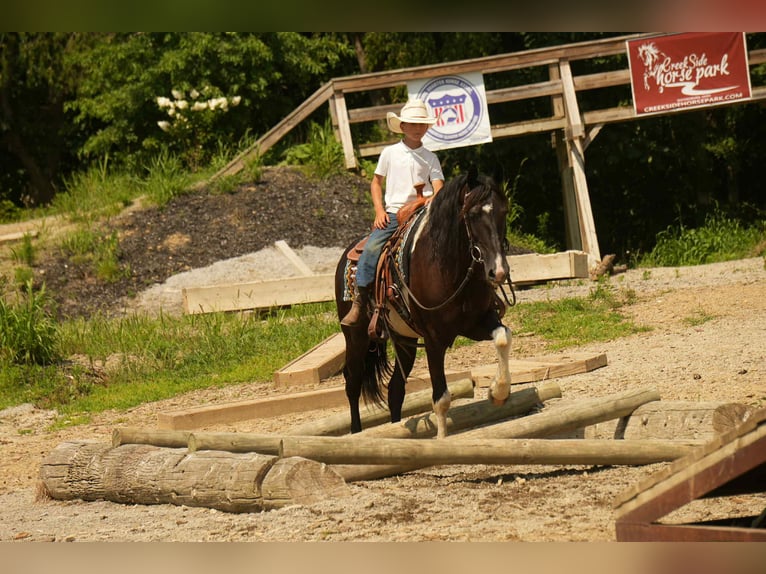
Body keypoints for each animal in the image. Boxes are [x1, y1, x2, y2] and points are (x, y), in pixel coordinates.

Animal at [334, 167, 513, 439]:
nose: (499, 271)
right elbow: (441, 397)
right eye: (472, 214)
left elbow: (503, 337)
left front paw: (498, 392)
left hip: (404, 340)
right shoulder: (433, 338)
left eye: (503, 211)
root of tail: (347, 254)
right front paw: (441, 438)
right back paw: (356, 434)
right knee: (353, 383)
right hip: (356, 337)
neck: (449, 267)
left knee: (395, 389)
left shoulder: (476, 322)